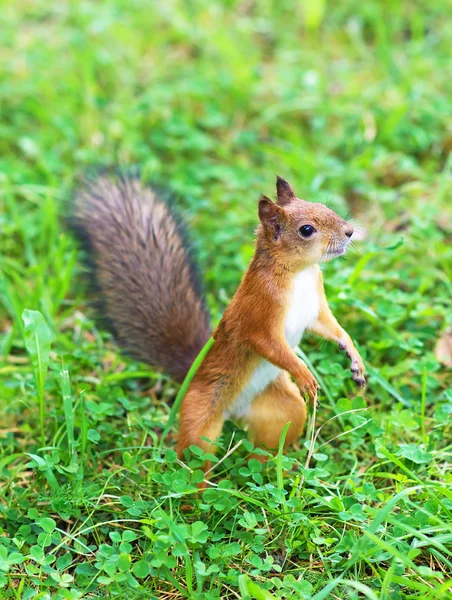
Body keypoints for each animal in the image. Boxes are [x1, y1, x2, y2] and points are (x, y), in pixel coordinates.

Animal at [73, 172, 364, 464]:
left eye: (324, 206)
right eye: (306, 230)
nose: (349, 231)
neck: (299, 273)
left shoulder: (314, 306)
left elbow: (330, 327)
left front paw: (354, 357)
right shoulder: (258, 311)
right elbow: (268, 343)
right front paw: (304, 374)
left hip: (283, 409)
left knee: (267, 445)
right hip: (199, 415)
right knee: (192, 456)